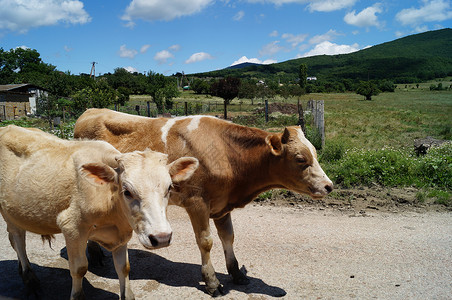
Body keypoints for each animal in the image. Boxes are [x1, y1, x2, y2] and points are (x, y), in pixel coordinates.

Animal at [0, 125, 198, 300]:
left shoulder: (121, 235)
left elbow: (124, 267)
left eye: (169, 187)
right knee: (19, 241)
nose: (161, 237)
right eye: (127, 191)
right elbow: (79, 269)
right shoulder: (71, 228)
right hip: (10, 213)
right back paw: (30, 281)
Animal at [74, 108, 334, 296]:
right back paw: (95, 256)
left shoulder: (222, 206)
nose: (328, 186)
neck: (227, 153)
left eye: (315, 153)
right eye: (300, 159)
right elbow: (206, 242)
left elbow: (228, 237)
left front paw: (237, 273)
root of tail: (90, 111)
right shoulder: (197, 203)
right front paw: (212, 282)